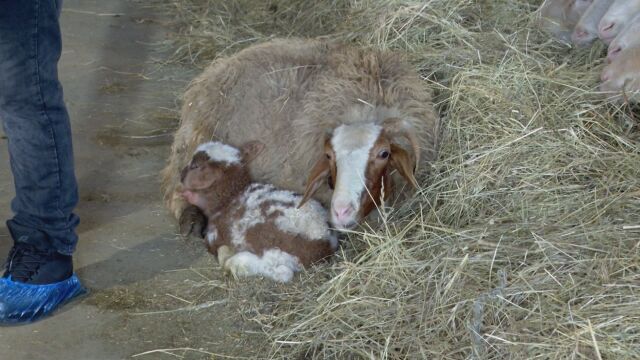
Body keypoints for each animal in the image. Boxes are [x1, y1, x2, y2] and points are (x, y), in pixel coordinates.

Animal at [160, 38, 440, 233]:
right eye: (329, 156)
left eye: (384, 153)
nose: (341, 211)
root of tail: (220, 65)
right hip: (194, 139)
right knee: (176, 186)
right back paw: (191, 220)